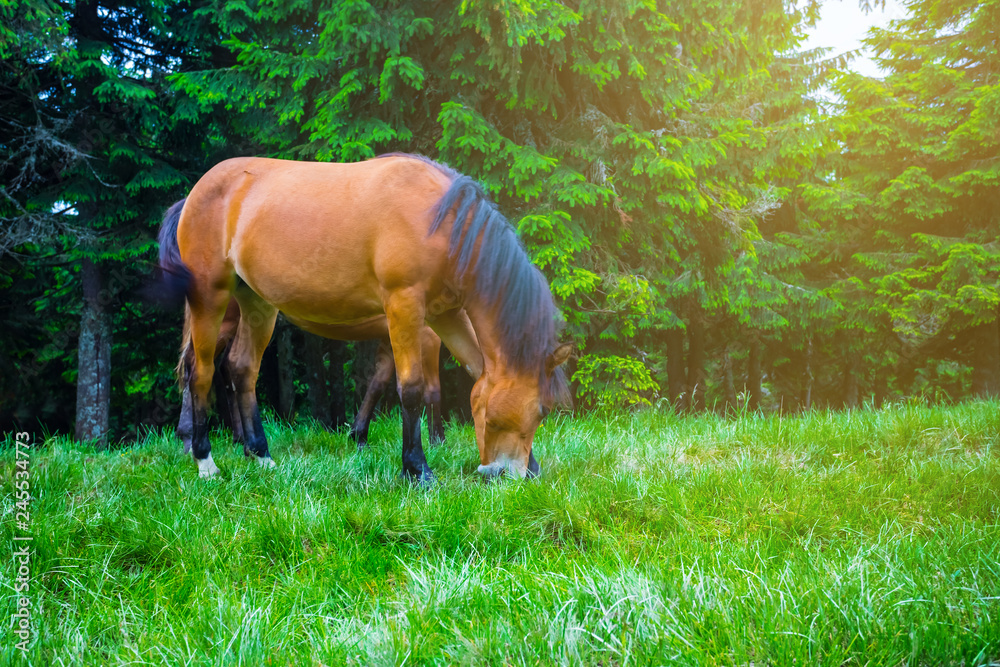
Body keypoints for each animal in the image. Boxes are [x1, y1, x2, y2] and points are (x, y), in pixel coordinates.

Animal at [174, 295, 452, 455]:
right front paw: (438, 441)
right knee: (197, 365)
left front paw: (359, 435)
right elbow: (432, 389)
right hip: (226, 318)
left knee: (220, 368)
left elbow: (378, 382)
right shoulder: (427, 333)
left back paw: (236, 438)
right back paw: (191, 439)